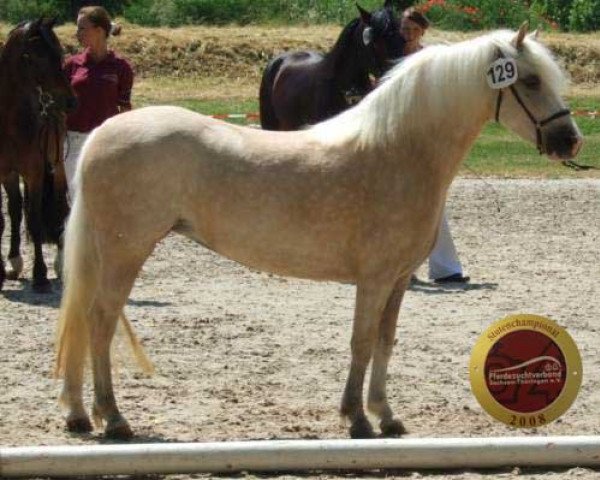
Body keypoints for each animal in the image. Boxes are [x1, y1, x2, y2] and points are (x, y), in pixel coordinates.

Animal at [0, 18, 76, 292]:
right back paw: (14, 262)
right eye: (38, 57)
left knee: (61, 206)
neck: (9, 120)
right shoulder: (4, 172)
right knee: (14, 209)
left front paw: (40, 274)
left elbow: (34, 218)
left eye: (60, 54)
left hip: (57, 167)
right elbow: (7, 218)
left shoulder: (34, 172)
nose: (70, 101)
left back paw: (60, 264)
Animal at [55, 25, 580, 438]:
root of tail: (101, 134)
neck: (400, 150)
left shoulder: (397, 281)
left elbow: (385, 342)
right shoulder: (373, 280)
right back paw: (113, 419)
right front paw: (357, 419)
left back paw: (79, 414)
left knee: (83, 319)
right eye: (531, 80)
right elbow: (361, 342)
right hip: (125, 253)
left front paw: (385, 415)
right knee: (100, 323)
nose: (570, 140)